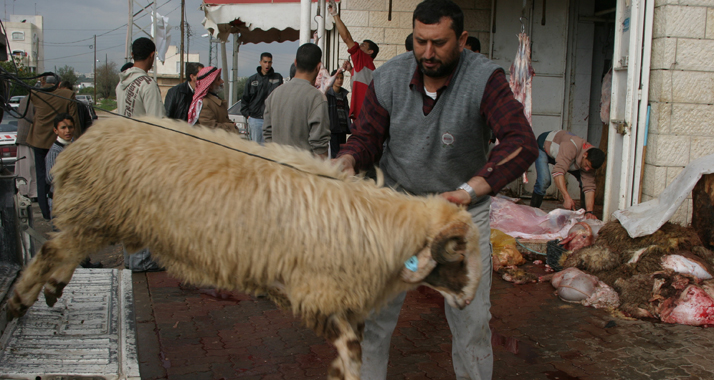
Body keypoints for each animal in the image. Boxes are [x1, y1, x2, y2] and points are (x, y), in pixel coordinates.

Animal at [5, 117, 482, 378]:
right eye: (457, 252)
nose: (469, 301)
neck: (381, 226)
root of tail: (88, 136)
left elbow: (357, 342)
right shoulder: (314, 294)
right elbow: (351, 349)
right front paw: (342, 371)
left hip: (99, 216)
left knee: (62, 252)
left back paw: (51, 290)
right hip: (95, 209)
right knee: (51, 252)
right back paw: (19, 301)